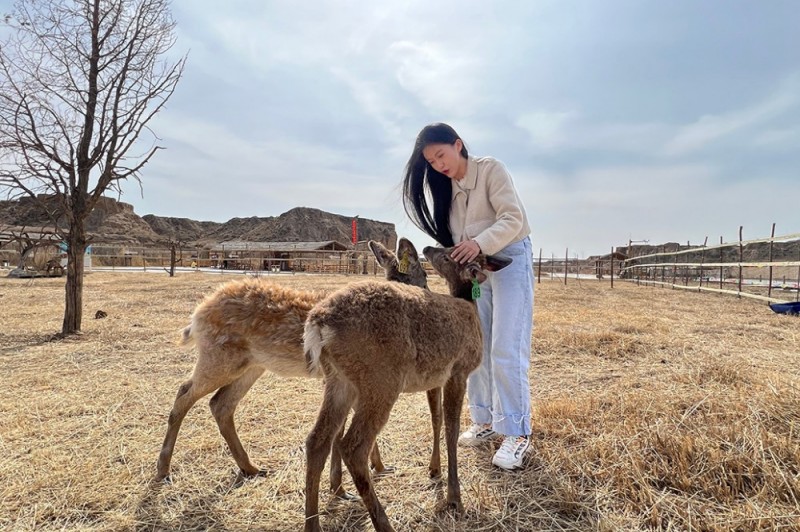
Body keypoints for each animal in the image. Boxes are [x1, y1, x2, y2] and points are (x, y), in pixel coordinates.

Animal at [156, 239, 432, 492]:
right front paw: (344, 486)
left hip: (251, 365)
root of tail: (196, 316)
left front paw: (378, 468)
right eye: (425, 275)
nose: (428, 296)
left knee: (220, 404)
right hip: (218, 357)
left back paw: (251, 468)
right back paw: (163, 470)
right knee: (184, 393)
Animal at [304, 245, 510, 532]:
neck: (470, 307)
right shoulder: (458, 369)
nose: (428, 247)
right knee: (353, 446)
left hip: (339, 380)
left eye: (447, 254)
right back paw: (384, 523)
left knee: (316, 440)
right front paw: (454, 499)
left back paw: (312, 524)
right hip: (381, 379)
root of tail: (318, 323)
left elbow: (437, 419)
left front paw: (434, 471)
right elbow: (451, 426)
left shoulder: (437, 377)